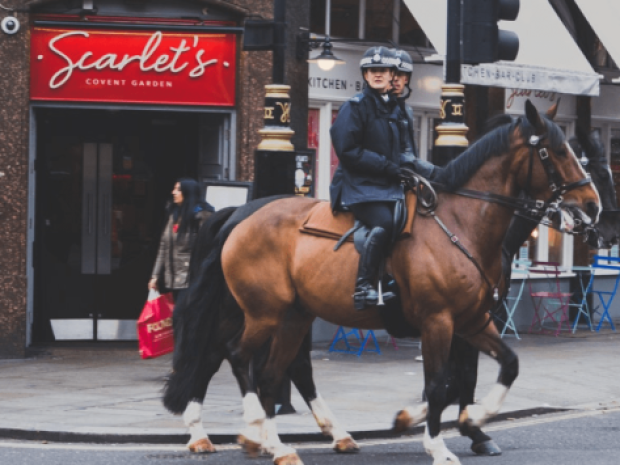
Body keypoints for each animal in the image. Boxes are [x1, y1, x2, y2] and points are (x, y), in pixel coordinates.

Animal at [196, 102, 600, 464]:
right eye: (557, 151)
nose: (593, 206)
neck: (461, 224)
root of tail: (243, 217)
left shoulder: (473, 321)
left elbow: (504, 366)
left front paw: (468, 419)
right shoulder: (438, 320)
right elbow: (440, 383)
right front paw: (439, 445)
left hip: (294, 316)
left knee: (271, 373)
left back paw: (277, 444)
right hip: (264, 312)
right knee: (237, 355)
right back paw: (255, 430)